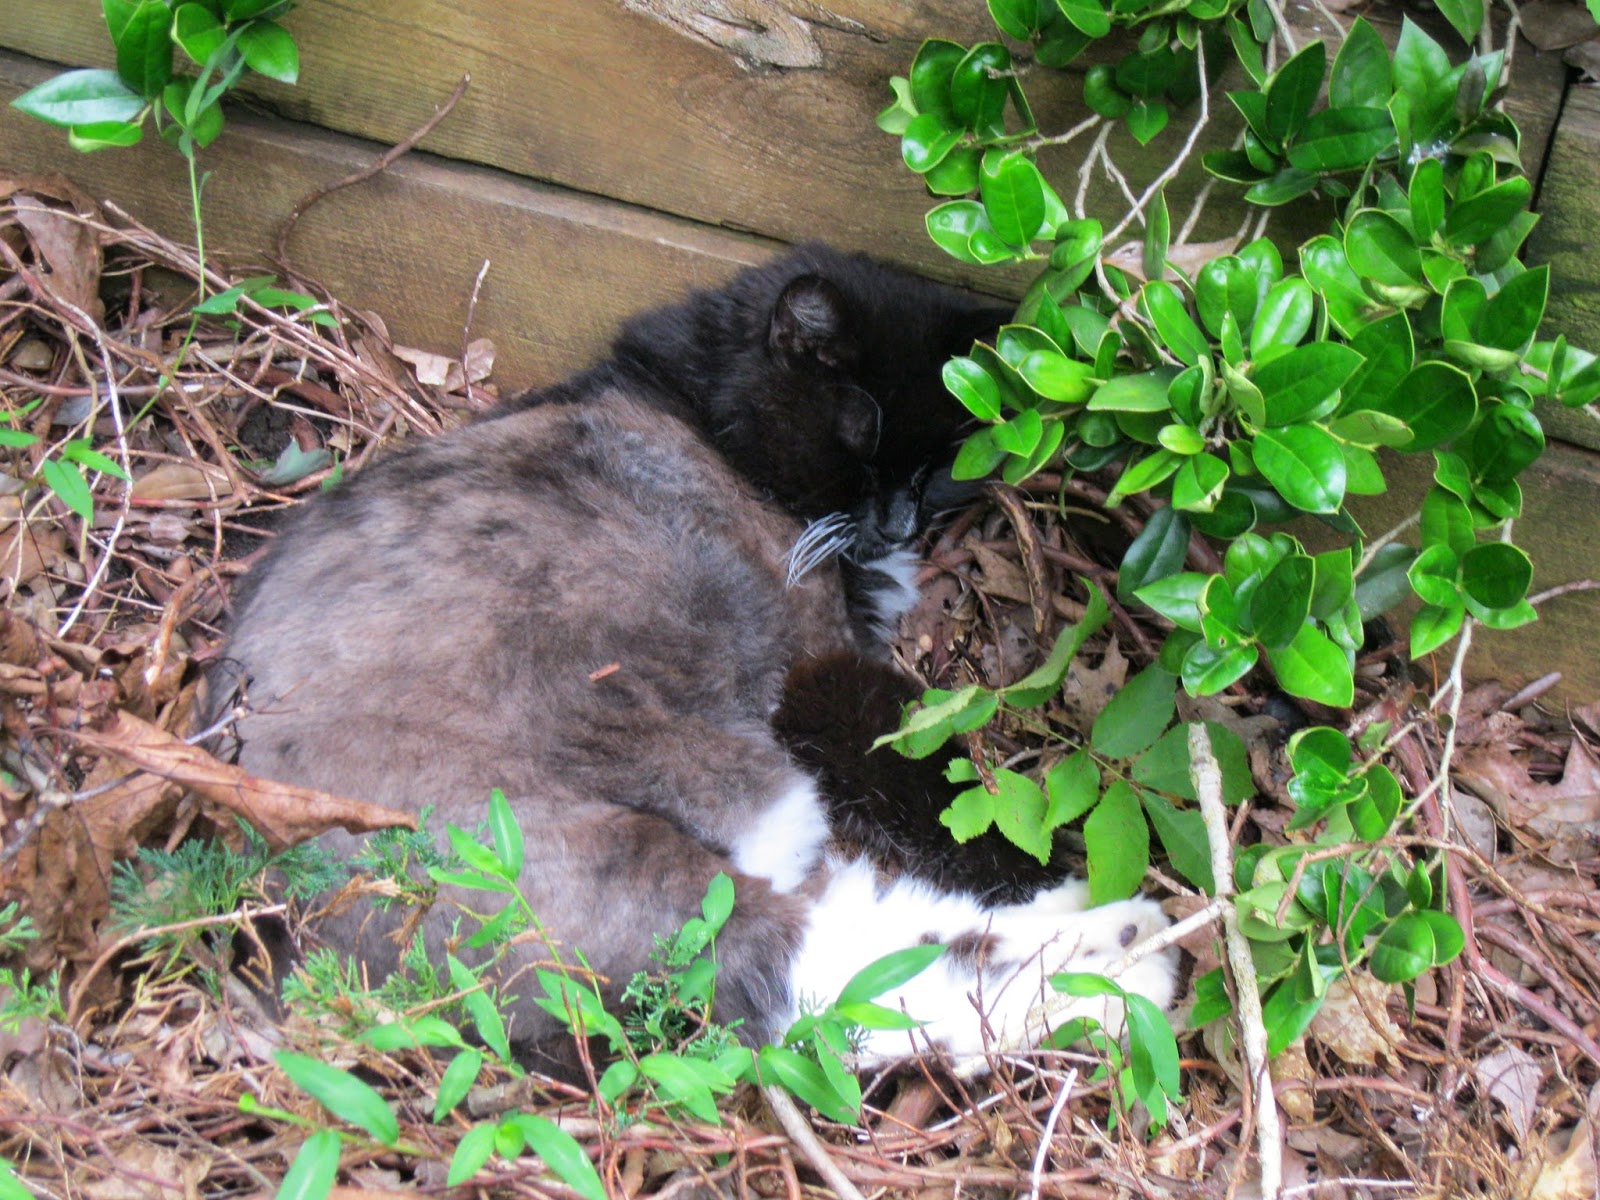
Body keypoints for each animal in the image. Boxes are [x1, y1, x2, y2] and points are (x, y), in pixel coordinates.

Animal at [209, 244, 1177, 1078]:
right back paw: (1124, 958)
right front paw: (1053, 864)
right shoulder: (825, 671)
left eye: (943, 465)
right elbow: (938, 786)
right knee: (808, 968)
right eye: (858, 440)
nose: (898, 523)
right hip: (632, 841)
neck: (702, 407)